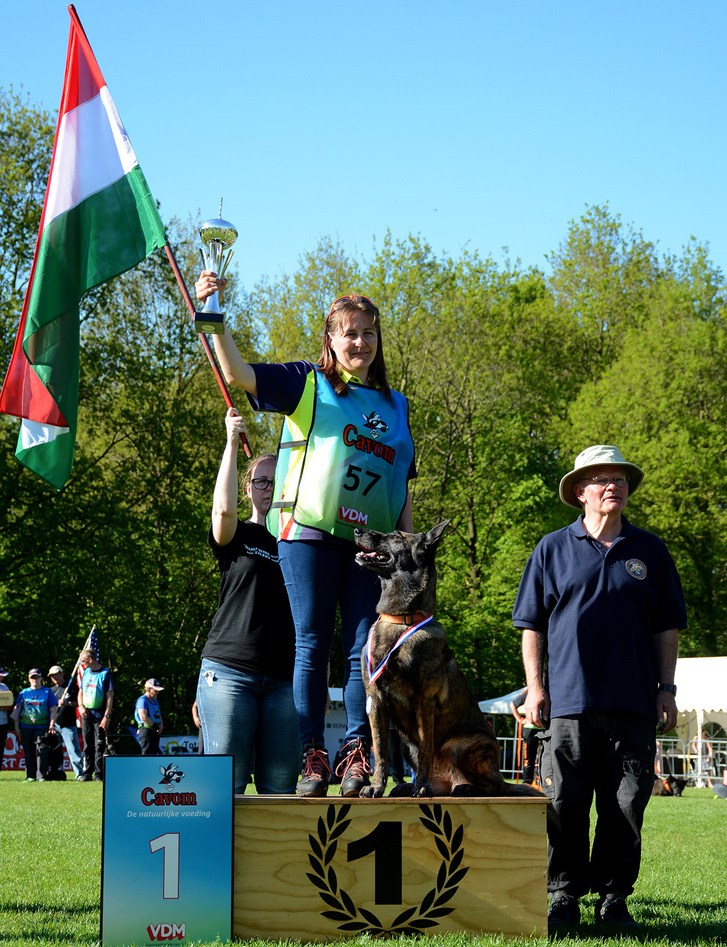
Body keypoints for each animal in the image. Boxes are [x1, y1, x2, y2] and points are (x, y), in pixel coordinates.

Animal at [356, 520, 544, 800]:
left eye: (396, 536)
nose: (357, 530)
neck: (402, 621)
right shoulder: (376, 702)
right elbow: (379, 752)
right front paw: (377, 786)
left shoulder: (424, 700)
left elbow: (425, 748)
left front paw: (420, 786)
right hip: (406, 745)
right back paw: (411, 786)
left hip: (465, 743)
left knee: (494, 786)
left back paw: (460, 787)